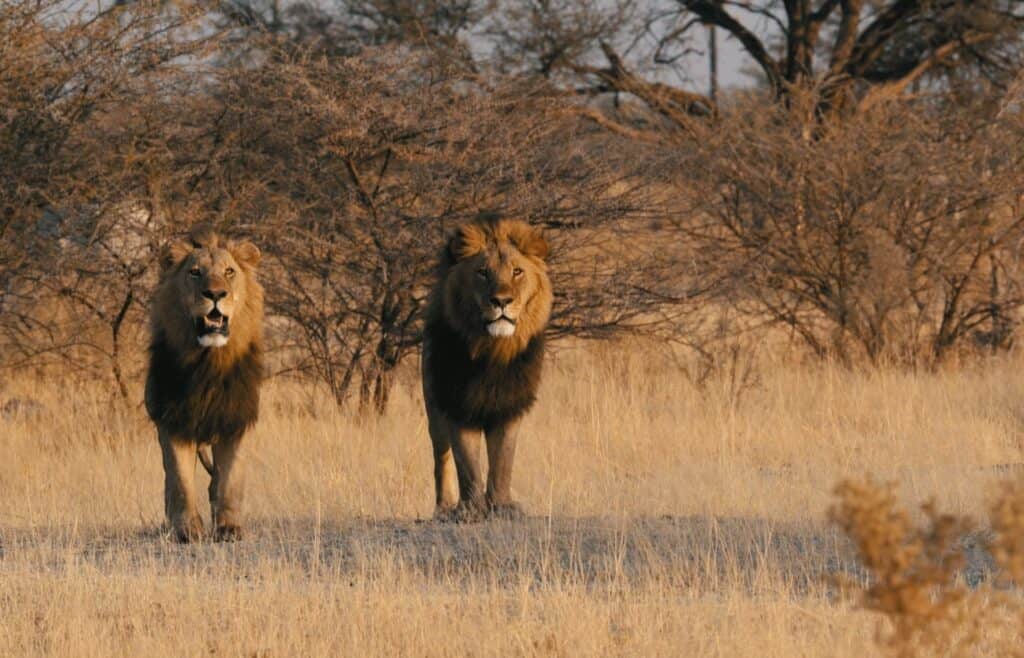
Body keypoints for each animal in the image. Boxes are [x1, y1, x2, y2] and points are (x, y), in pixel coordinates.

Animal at [145, 224, 263, 542]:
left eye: (230, 272)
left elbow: (230, 481)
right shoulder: (172, 421)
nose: (215, 293)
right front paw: (187, 530)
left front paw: (230, 528)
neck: (208, 363)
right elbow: (180, 482)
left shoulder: (236, 420)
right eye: (195, 272)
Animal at [421, 216, 552, 521]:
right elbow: (467, 464)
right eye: (482, 272)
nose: (501, 301)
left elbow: (503, 461)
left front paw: (502, 506)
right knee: (441, 458)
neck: (492, 351)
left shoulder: (509, 405)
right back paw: (444, 507)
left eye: (517, 271)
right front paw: (471, 509)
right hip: (433, 406)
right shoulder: (457, 405)